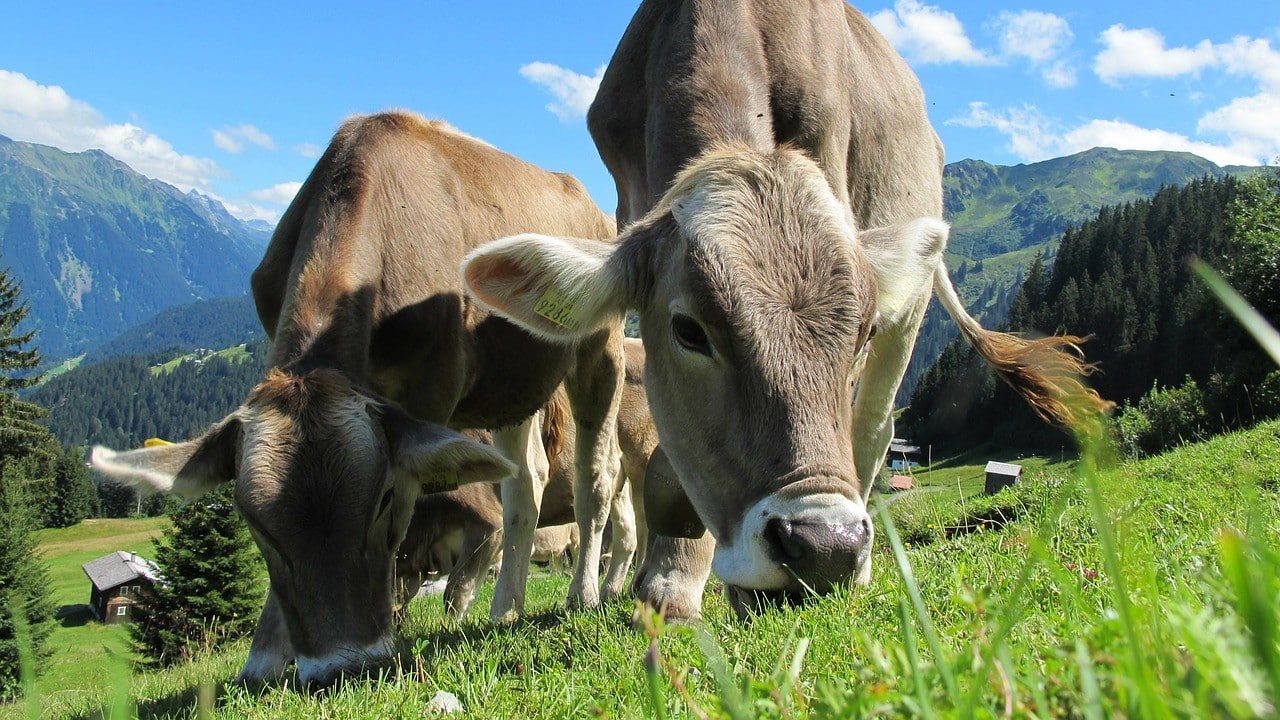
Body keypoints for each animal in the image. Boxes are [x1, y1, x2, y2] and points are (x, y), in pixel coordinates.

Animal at [88, 107, 624, 681]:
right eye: (253, 522)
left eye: (383, 498)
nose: (341, 667)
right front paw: (265, 657)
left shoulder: (430, 391)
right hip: (511, 383)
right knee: (526, 482)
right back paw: (506, 608)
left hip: (600, 349)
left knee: (596, 476)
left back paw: (583, 594)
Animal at [463, 1, 1111, 617]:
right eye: (688, 330)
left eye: (862, 331)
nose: (827, 547)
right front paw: (672, 577)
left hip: (913, 300)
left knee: (875, 425)